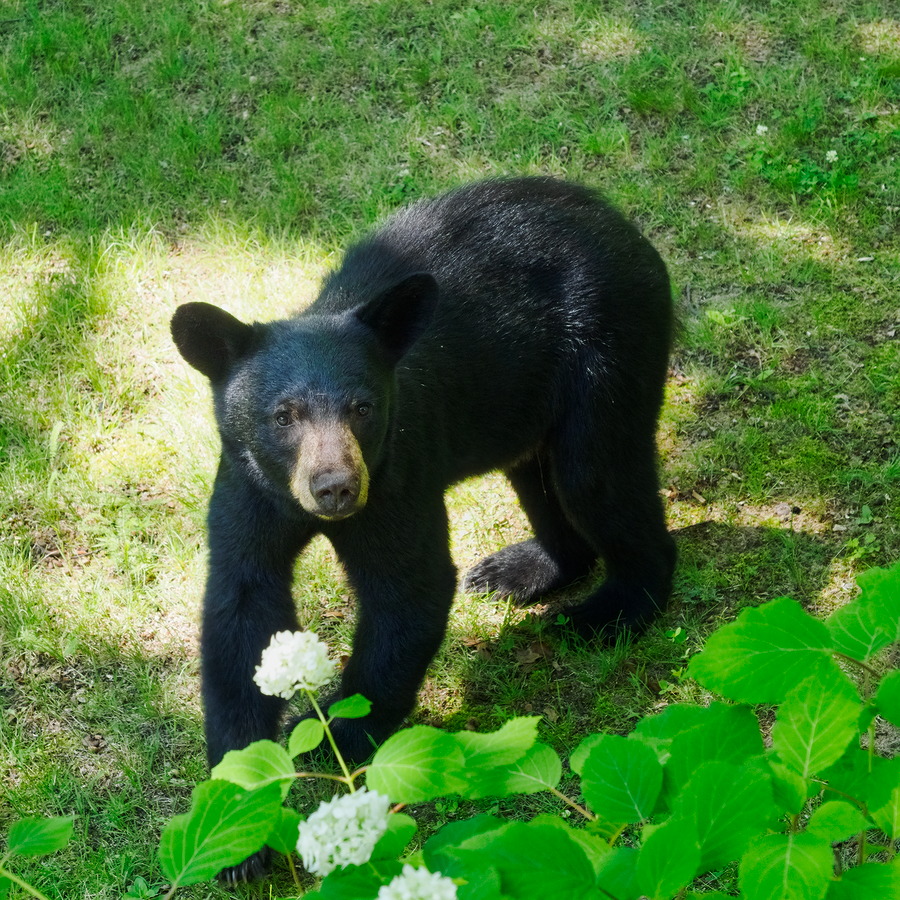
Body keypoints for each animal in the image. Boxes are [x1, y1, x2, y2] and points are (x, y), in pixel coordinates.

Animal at [170, 177, 676, 880]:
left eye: (362, 407)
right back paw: (518, 571)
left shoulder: (395, 471)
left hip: (606, 351)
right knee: (541, 477)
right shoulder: (250, 486)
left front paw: (339, 736)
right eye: (283, 414)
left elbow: (408, 585)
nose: (334, 487)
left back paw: (608, 613)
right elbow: (243, 610)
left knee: (596, 475)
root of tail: (624, 225)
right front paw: (237, 822)